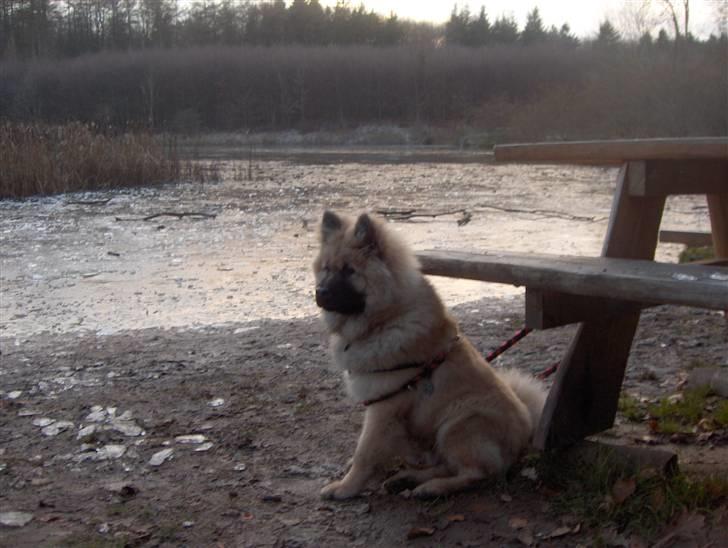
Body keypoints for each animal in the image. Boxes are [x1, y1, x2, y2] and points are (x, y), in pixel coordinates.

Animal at [312, 211, 544, 500]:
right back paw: (408, 479)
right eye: (326, 269)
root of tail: (527, 431)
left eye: (348, 271)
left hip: (459, 423)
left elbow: (365, 452)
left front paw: (346, 487)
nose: (320, 292)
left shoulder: (384, 405)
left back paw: (431, 487)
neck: (385, 319)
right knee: (447, 465)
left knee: (475, 473)